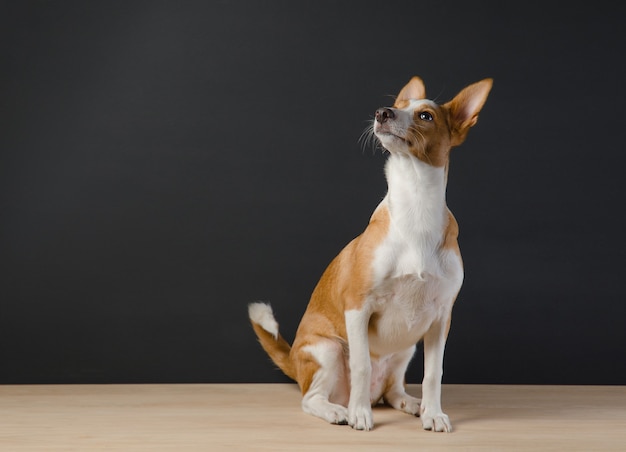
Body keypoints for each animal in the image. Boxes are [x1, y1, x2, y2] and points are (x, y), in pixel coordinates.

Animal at [246, 76, 490, 432]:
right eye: (399, 105)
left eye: (426, 116)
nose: (383, 112)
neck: (416, 205)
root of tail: (294, 360)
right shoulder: (358, 307)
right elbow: (361, 366)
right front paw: (360, 413)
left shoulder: (441, 318)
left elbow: (434, 374)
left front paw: (433, 413)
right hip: (328, 350)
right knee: (311, 399)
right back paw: (339, 410)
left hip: (406, 349)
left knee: (392, 390)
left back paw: (411, 403)